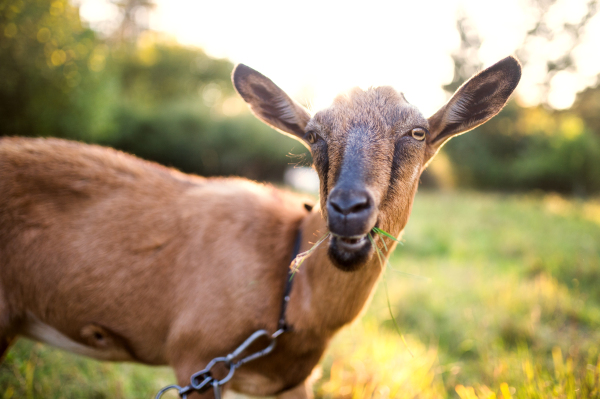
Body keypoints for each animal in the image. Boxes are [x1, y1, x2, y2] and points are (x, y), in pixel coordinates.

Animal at [0, 57, 520, 399]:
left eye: (417, 133)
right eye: (313, 135)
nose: (347, 207)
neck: (290, 296)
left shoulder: (290, 383)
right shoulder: (196, 360)